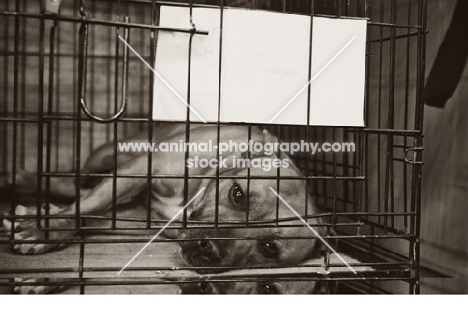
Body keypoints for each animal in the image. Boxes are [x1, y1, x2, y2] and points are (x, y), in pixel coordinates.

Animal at [3, 123, 332, 294]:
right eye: (238, 194)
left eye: (268, 248)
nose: (208, 248)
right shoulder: (139, 170)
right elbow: (90, 205)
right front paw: (43, 231)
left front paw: (45, 278)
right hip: (107, 157)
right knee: (76, 185)